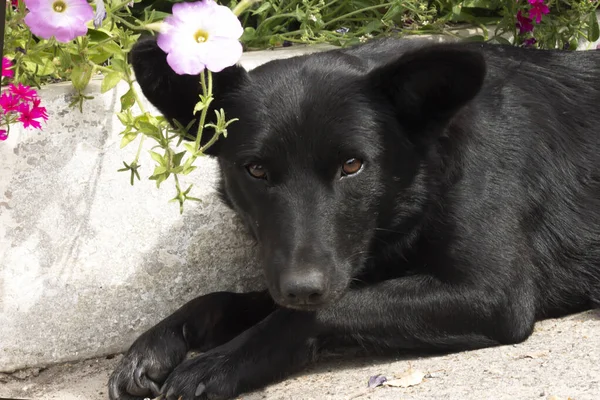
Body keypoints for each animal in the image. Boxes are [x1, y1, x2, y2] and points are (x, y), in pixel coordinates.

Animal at [108, 37, 600, 400]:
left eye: (352, 165)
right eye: (256, 170)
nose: (302, 288)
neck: (426, 171)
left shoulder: (492, 295)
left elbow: (318, 312)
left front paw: (218, 363)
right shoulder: (310, 267)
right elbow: (226, 299)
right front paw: (158, 342)